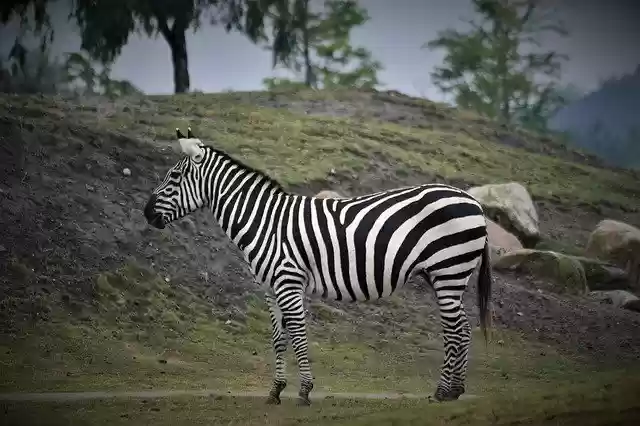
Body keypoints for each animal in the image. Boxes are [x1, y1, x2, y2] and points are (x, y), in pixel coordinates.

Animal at [144, 127, 493, 406]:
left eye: (173, 177)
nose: (146, 213)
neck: (265, 222)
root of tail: (472, 201)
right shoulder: (271, 289)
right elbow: (278, 338)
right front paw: (275, 391)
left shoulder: (288, 281)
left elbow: (298, 334)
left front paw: (304, 391)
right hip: (447, 274)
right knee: (462, 329)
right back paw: (455, 390)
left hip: (448, 270)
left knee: (455, 331)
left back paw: (443, 391)